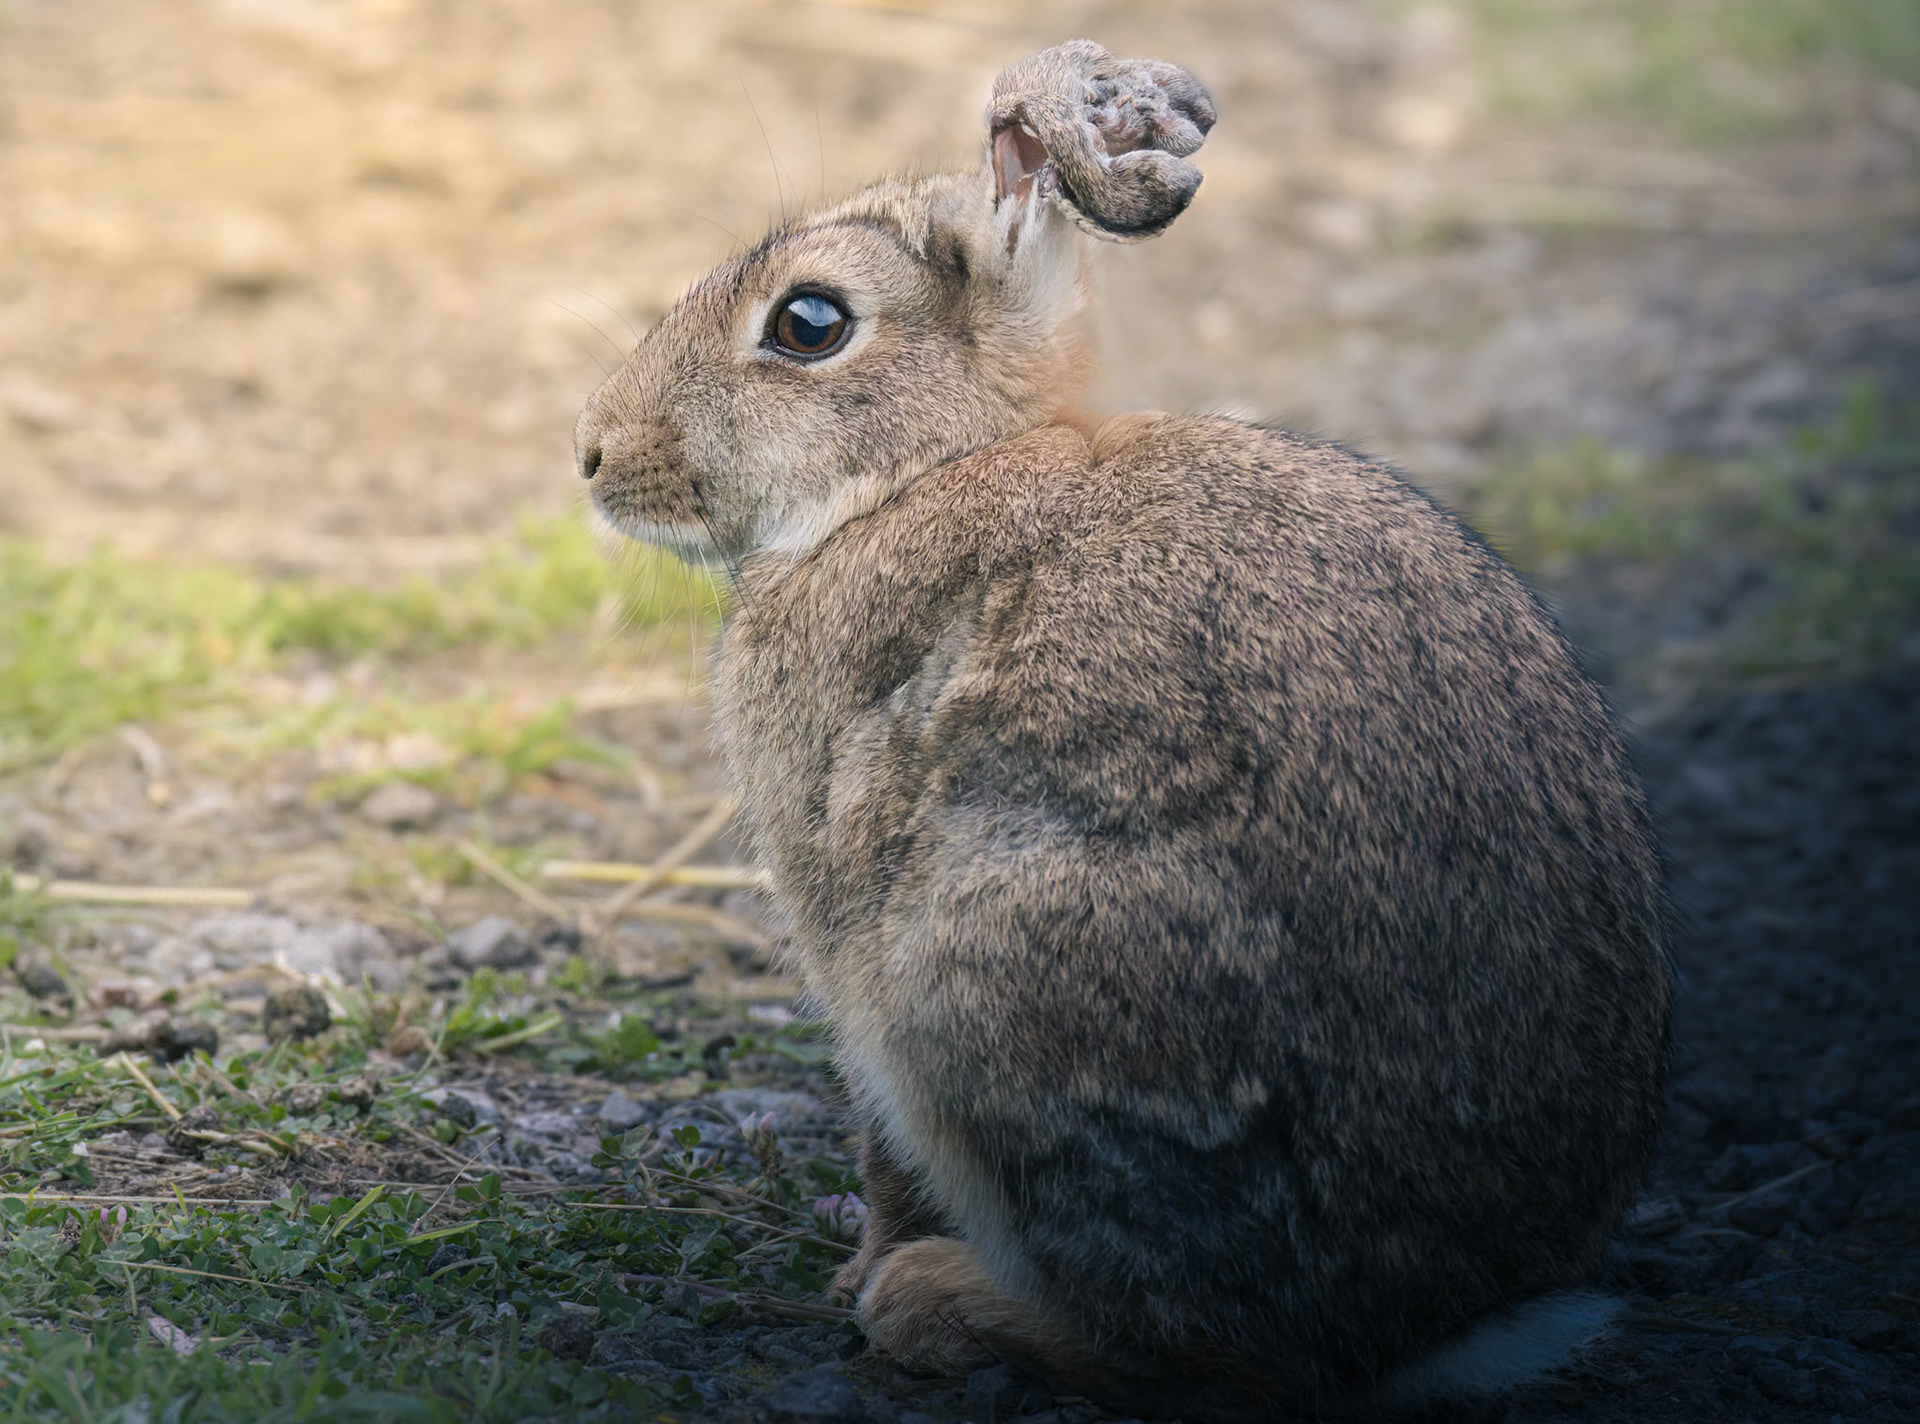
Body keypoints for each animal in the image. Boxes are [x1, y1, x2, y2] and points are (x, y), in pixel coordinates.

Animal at [574, 40, 1672, 1421]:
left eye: (808, 324)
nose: (592, 450)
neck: (917, 476)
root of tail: (1429, 1329)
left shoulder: (845, 911)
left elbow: (882, 1145)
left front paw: (862, 1268)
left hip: (987, 978)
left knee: (1209, 1354)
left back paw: (936, 1301)